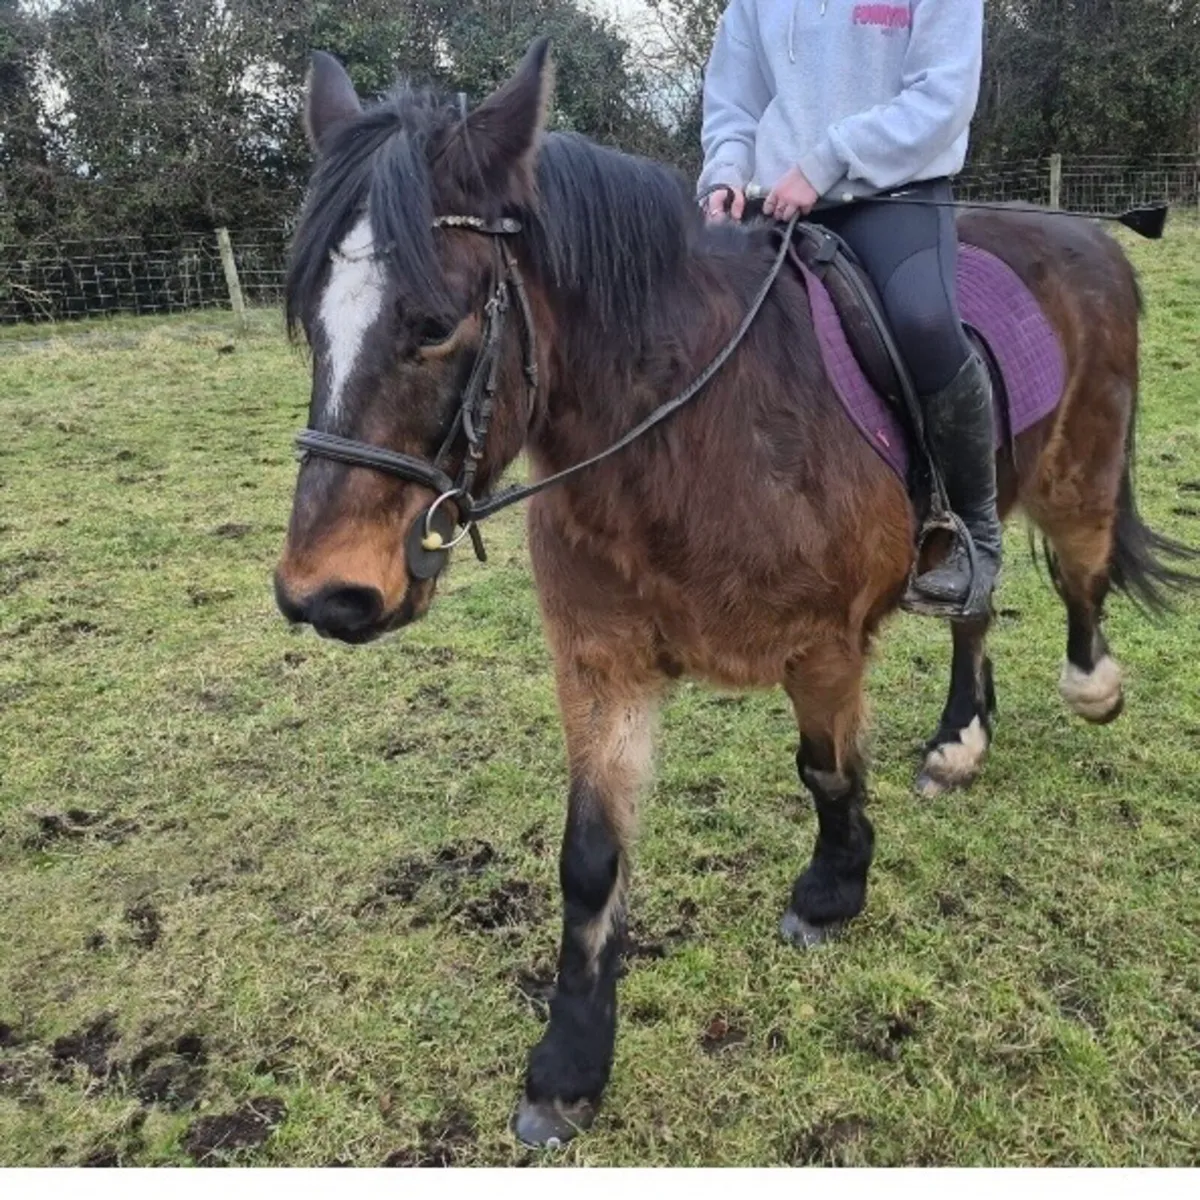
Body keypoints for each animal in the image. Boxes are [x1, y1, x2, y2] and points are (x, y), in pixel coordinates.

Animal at [272, 40, 1197, 1146]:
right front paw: (568, 1064)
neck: (681, 432)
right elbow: (590, 858)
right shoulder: (603, 665)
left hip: (1077, 479)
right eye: (309, 324)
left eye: (432, 325)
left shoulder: (823, 645)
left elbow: (828, 773)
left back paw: (1089, 688)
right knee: (976, 601)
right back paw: (958, 741)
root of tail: (1086, 233)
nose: (326, 594)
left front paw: (832, 891)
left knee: (1080, 578)